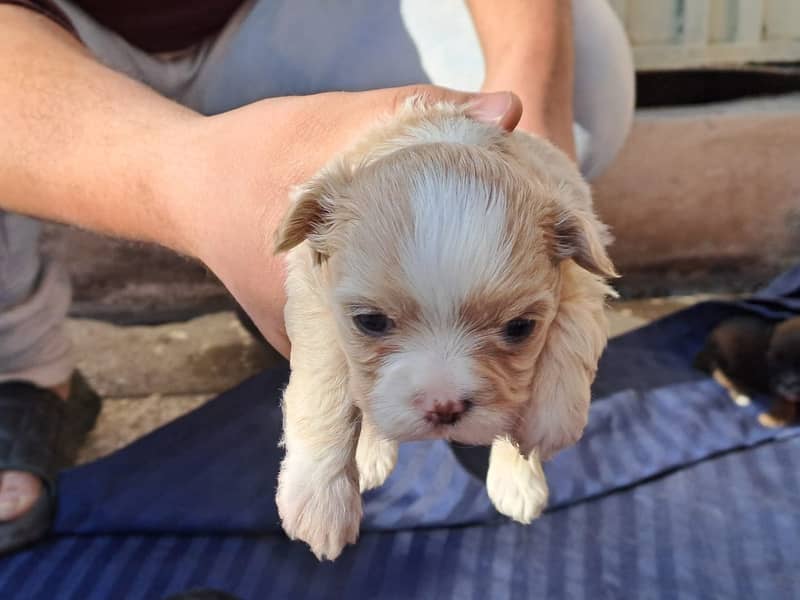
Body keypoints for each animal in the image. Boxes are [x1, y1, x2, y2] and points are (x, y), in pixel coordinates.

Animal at [272, 96, 616, 560]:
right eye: (370, 322)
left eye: (520, 328)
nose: (444, 407)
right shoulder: (314, 296)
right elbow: (324, 386)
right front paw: (321, 501)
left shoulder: (584, 274)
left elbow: (572, 334)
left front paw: (546, 424)